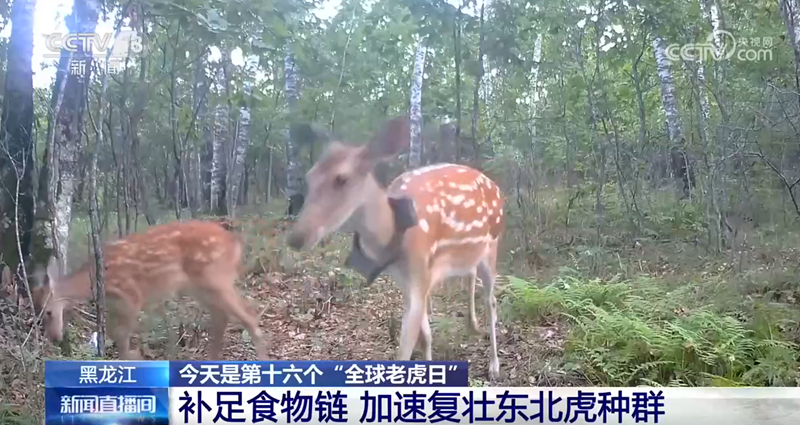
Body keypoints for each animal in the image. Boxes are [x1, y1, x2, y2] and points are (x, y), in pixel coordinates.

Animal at [31, 219, 268, 361]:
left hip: (216, 278)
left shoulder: (131, 296)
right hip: (201, 287)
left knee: (249, 315)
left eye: (48, 312)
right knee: (222, 318)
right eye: (39, 314)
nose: (54, 338)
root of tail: (235, 243)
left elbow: (122, 338)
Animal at [286, 116, 505, 380]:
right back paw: (472, 325)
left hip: (492, 246)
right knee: (470, 274)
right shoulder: (408, 280)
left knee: (492, 301)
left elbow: (406, 347)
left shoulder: (419, 274)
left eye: (341, 179)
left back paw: (494, 365)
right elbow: (425, 336)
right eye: (309, 177)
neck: (393, 233)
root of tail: (497, 188)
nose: (297, 237)